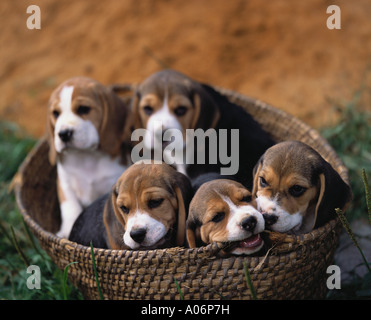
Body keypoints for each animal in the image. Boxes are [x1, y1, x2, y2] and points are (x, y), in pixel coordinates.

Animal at [46, 76, 133, 239]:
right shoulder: (65, 184)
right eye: (55, 113)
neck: (86, 156)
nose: (63, 134)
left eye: (83, 109)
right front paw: (67, 232)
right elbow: (70, 208)